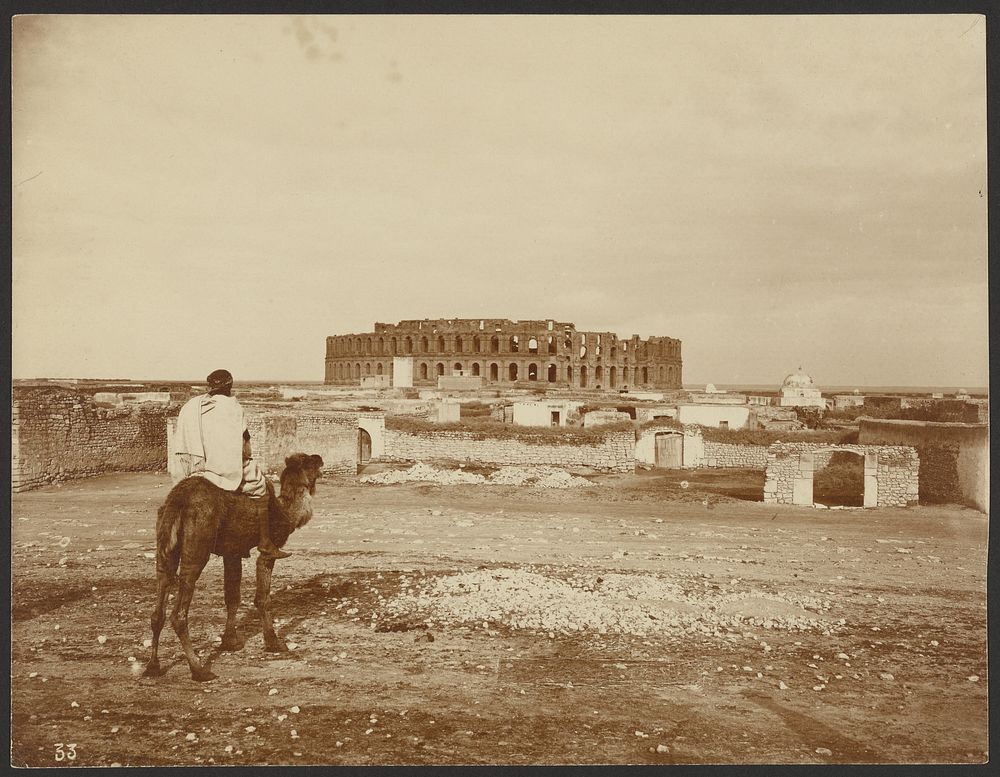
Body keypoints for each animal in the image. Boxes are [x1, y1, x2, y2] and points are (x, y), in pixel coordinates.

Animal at [145, 448, 322, 680]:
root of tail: (176, 502)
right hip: (197, 546)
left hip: (165, 547)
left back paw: (153, 667)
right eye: (309, 462)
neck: (285, 511)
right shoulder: (268, 551)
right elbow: (263, 598)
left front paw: (230, 642)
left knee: (159, 606)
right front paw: (273, 642)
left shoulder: (232, 552)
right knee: (179, 613)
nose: (320, 458)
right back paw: (199, 669)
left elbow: (232, 597)